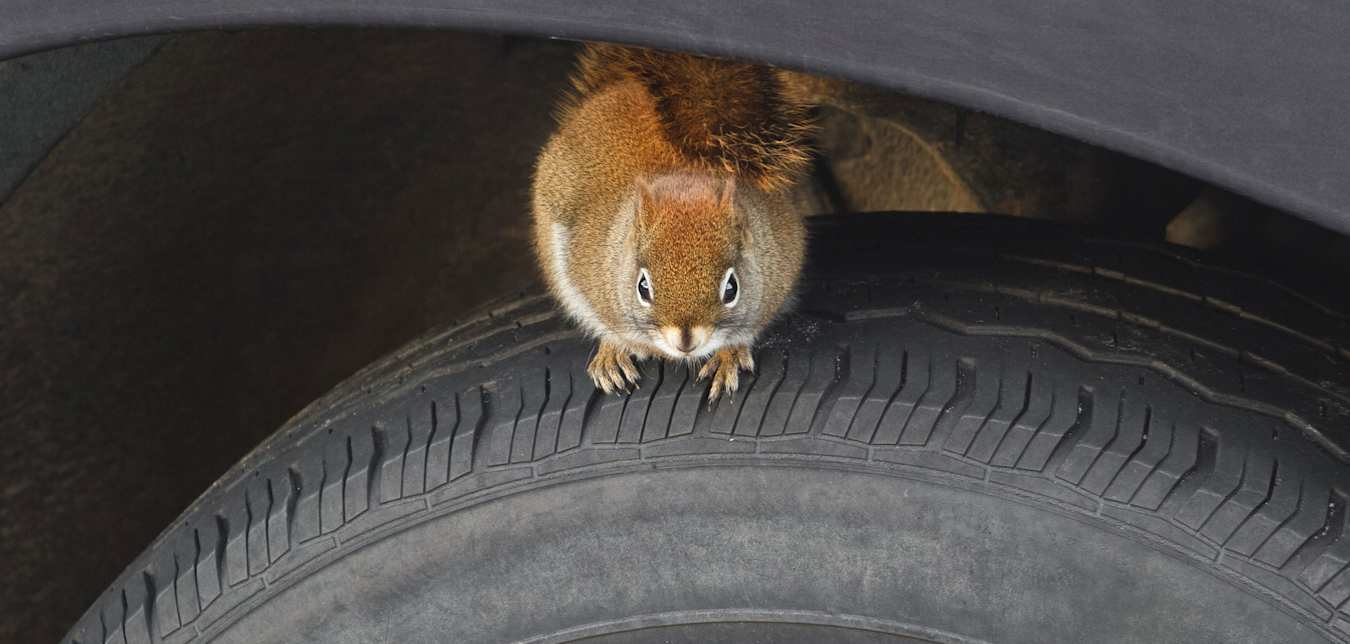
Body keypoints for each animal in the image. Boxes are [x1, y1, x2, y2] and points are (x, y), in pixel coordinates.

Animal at [531, 43, 815, 400]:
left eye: (732, 288)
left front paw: (729, 355)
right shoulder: (586, 269)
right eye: (643, 287)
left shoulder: (780, 272)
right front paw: (612, 349)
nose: (685, 341)